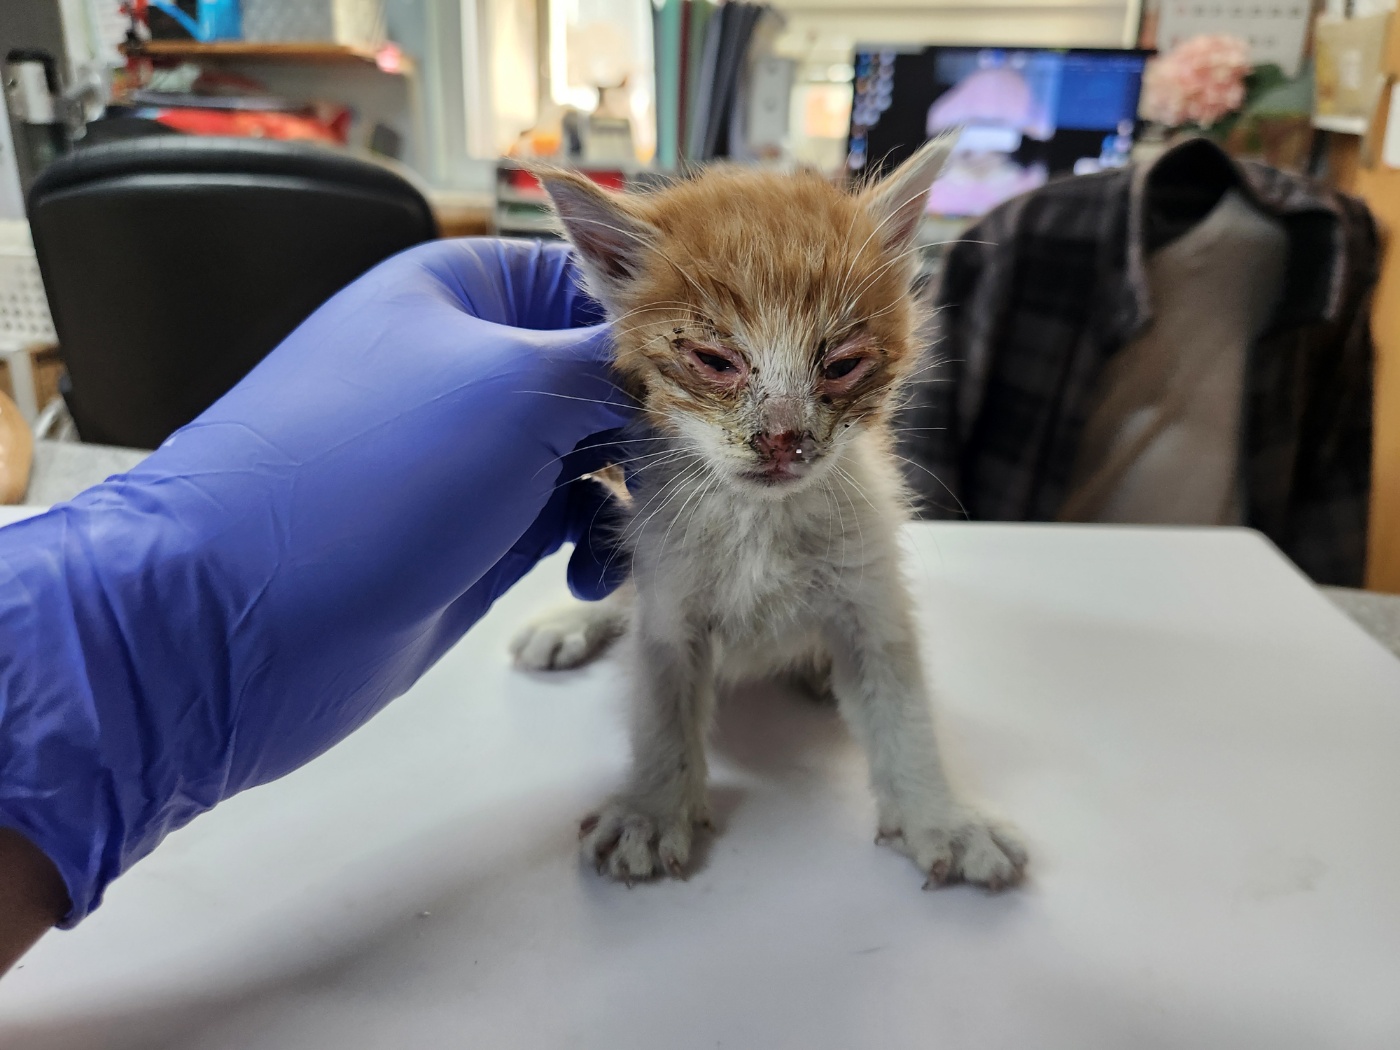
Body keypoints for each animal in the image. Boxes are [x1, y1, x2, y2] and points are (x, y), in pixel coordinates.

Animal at [509, 140, 1024, 890]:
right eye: (713, 360)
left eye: (841, 365)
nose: (783, 437)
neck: (761, 517)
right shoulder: (670, 597)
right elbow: (661, 704)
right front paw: (652, 809)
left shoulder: (872, 596)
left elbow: (903, 711)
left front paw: (941, 815)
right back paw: (570, 621)